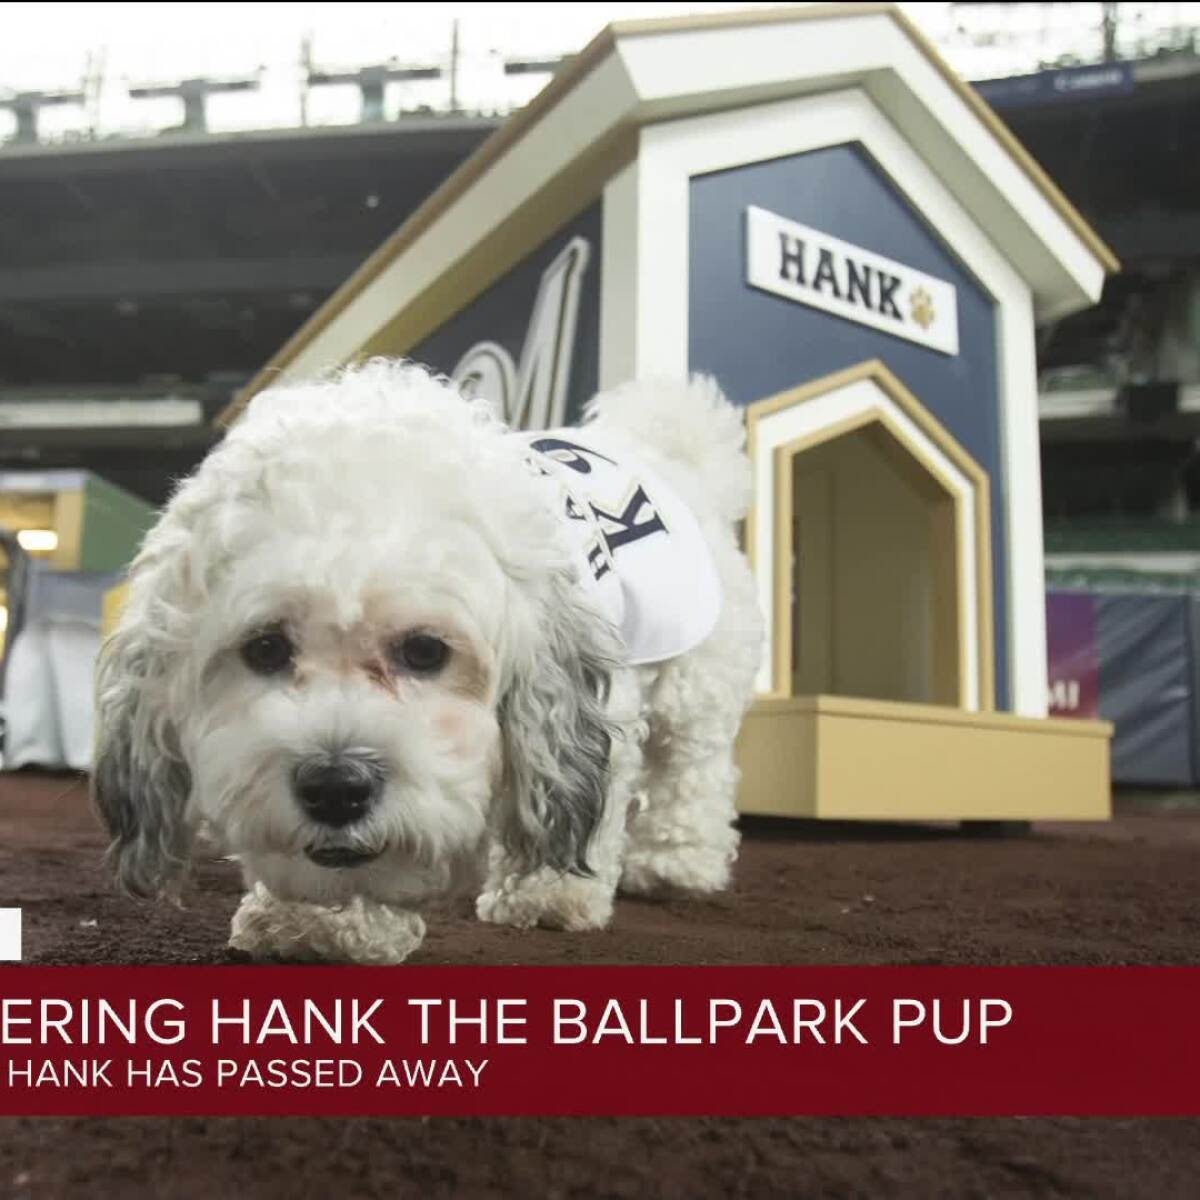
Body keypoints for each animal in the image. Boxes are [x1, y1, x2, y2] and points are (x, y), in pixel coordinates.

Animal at [92, 360, 764, 963]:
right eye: (265, 647)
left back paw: (678, 863)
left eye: (424, 650)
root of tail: (668, 448)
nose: (335, 787)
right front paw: (317, 924)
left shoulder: (587, 711)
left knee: (691, 771)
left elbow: (572, 804)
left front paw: (550, 891)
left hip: (695, 683)